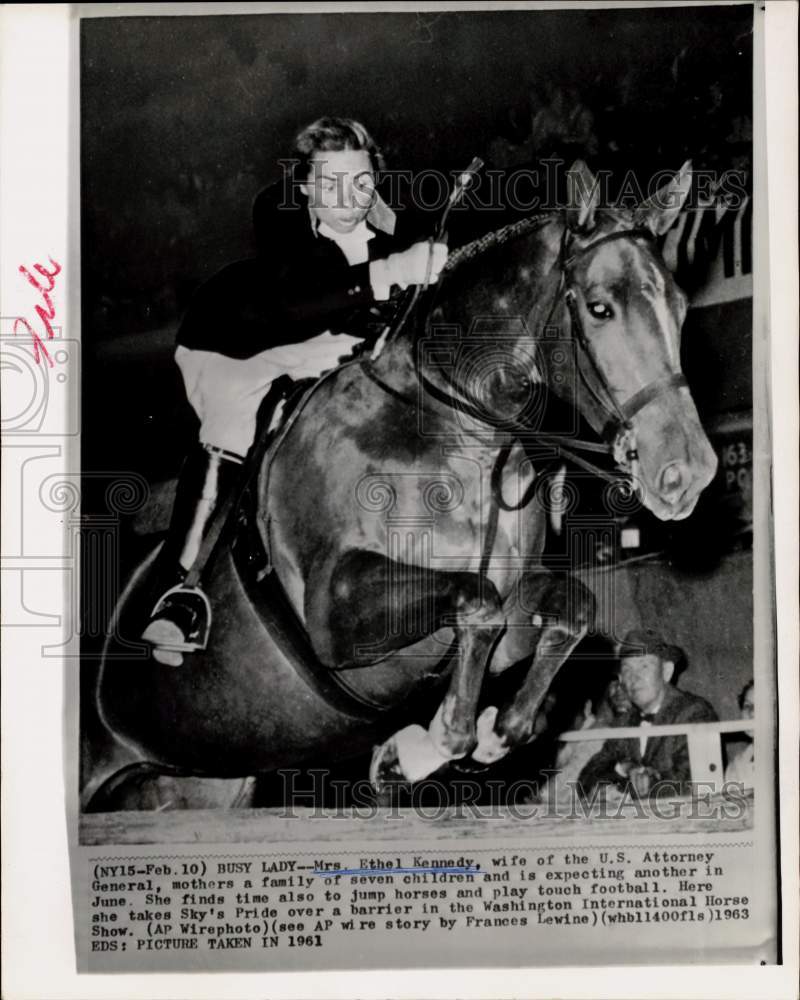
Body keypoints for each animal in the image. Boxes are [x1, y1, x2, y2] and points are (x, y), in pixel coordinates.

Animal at [84, 158, 716, 812]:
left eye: (680, 304)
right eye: (599, 308)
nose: (687, 473)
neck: (461, 431)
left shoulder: (514, 602)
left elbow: (570, 610)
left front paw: (477, 738)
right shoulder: (335, 612)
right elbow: (476, 603)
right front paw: (427, 745)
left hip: (204, 781)